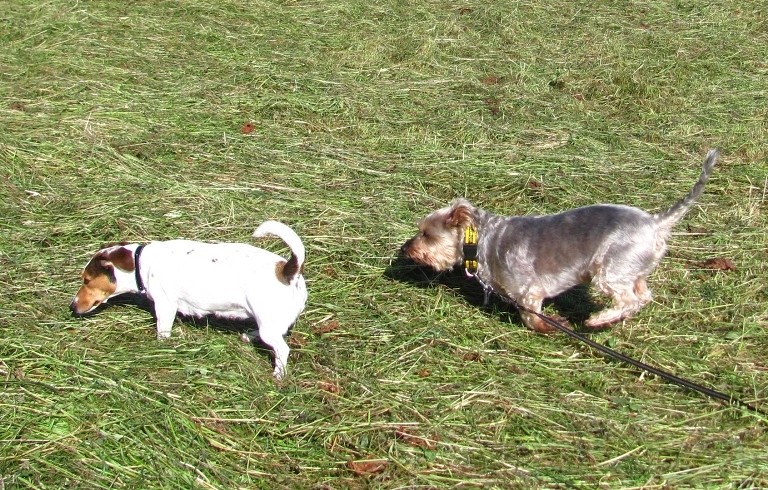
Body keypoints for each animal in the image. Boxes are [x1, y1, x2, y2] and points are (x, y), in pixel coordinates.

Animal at [69, 220, 307, 379]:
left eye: (87, 280)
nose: (72, 306)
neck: (140, 263)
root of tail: (288, 270)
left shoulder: (165, 306)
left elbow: (162, 332)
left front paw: (160, 348)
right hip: (268, 322)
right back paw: (248, 336)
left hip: (268, 324)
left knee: (282, 349)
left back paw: (278, 375)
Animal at [401, 150, 719, 333]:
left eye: (426, 234)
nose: (406, 248)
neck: (481, 241)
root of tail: (655, 223)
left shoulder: (529, 291)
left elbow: (530, 316)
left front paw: (552, 326)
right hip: (633, 268)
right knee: (642, 296)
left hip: (610, 268)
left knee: (628, 299)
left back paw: (598, 320)